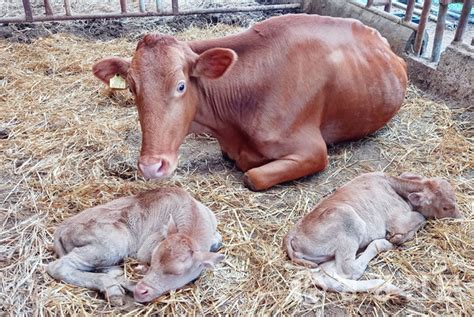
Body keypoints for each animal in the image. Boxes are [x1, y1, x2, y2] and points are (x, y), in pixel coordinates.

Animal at [47, 188, 224, 304]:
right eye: (153, 261)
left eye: (177, 272)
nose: (141, 290)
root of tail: (62, 228)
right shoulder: (146, 249)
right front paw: (141, 269)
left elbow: (218, 240)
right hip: (114, 243)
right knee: (58, 266)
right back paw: (113, 289)